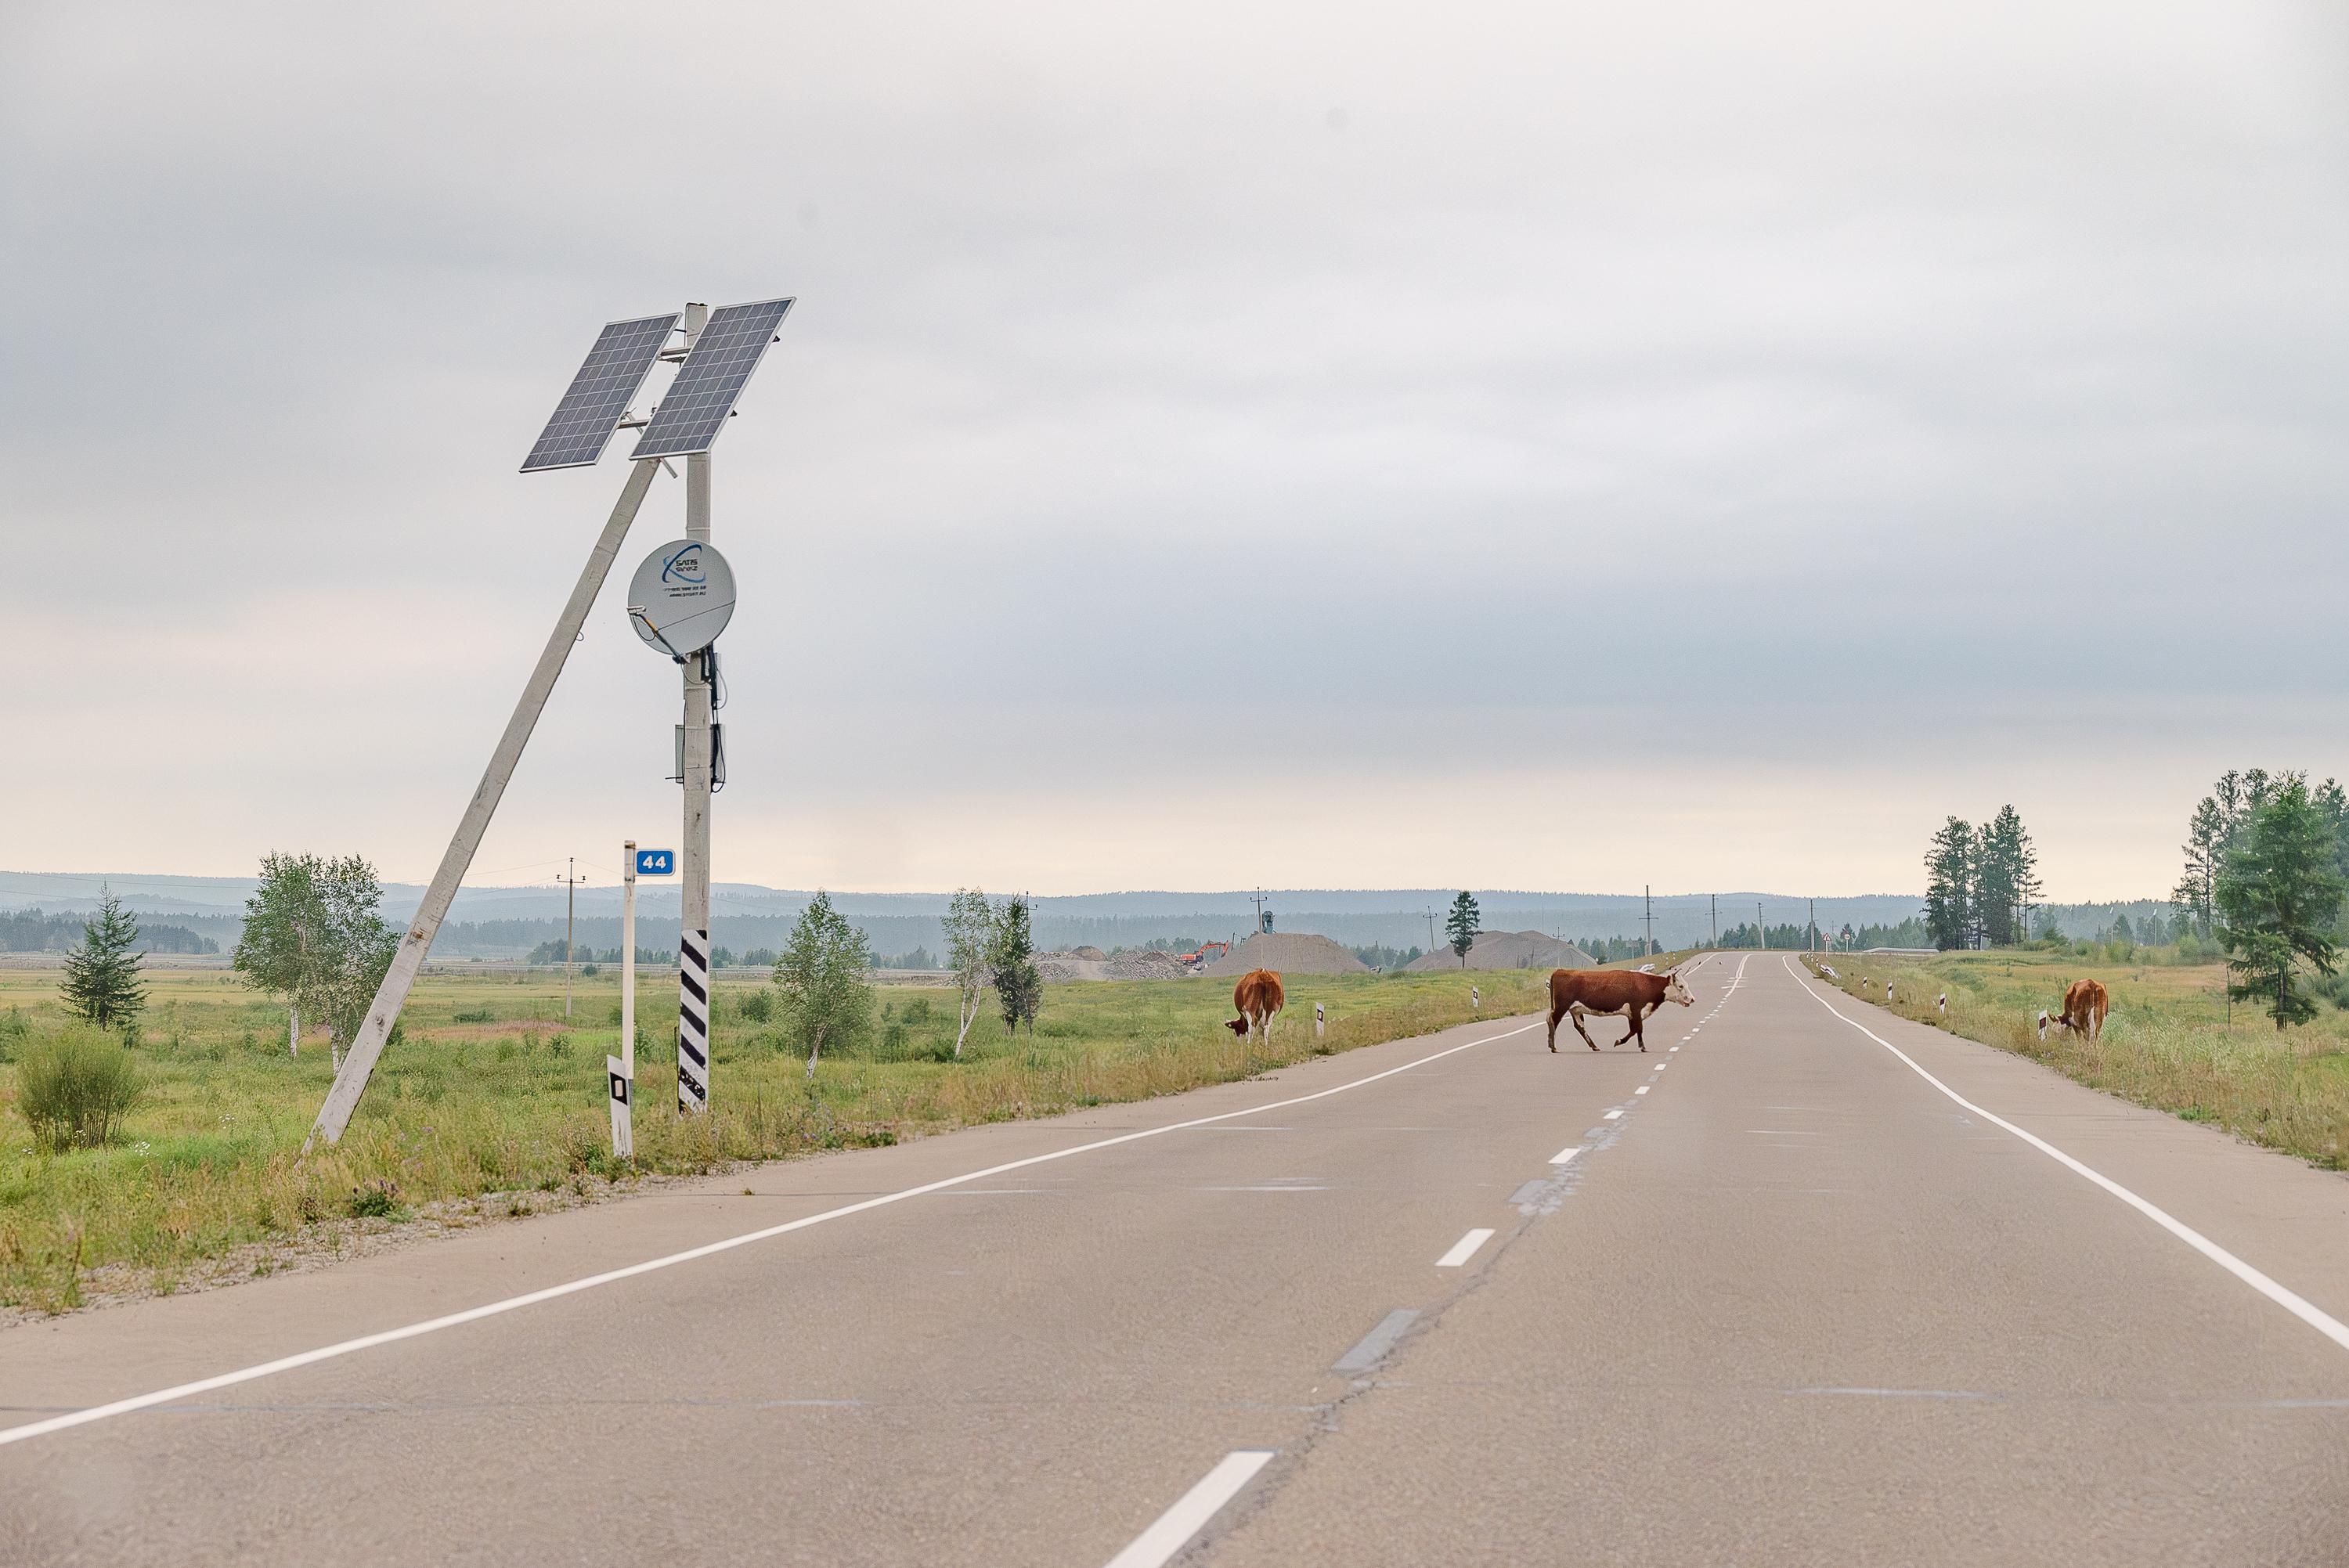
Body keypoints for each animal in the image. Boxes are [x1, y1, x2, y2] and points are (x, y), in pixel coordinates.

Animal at [1541, 967, 1691, 1051]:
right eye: (1681, 986)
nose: (1692, 999)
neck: (1646, 984)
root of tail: (1560, 971)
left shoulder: (1632, 1014)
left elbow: (1638, 1030)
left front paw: (1642, 1047)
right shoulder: (1636, 1010)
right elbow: (1636, 1029)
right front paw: (1619, 1042)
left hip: (1575, 1010)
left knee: (1579, 1027)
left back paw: (1594, 1046)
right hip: (1561, 1007)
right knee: (1554, 1021)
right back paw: (1553, 1047)